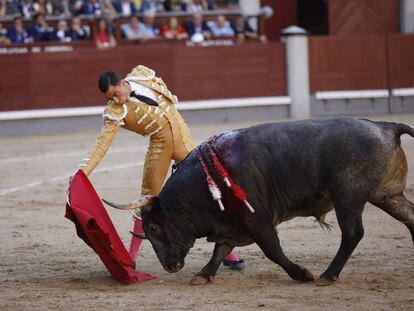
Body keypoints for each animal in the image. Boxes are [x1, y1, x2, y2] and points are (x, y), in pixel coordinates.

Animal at [107, 118, 414, 286]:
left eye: (154, 228)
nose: (169, 266)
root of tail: (385, 126)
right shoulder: (231, 224)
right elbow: (220, 250)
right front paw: (203, 275)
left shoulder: (258, 221)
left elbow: (273, 251)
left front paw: (302, 274)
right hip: (387, 195)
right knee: (410, 219)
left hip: (347, 196)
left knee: (352, 233)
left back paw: (327, 275)